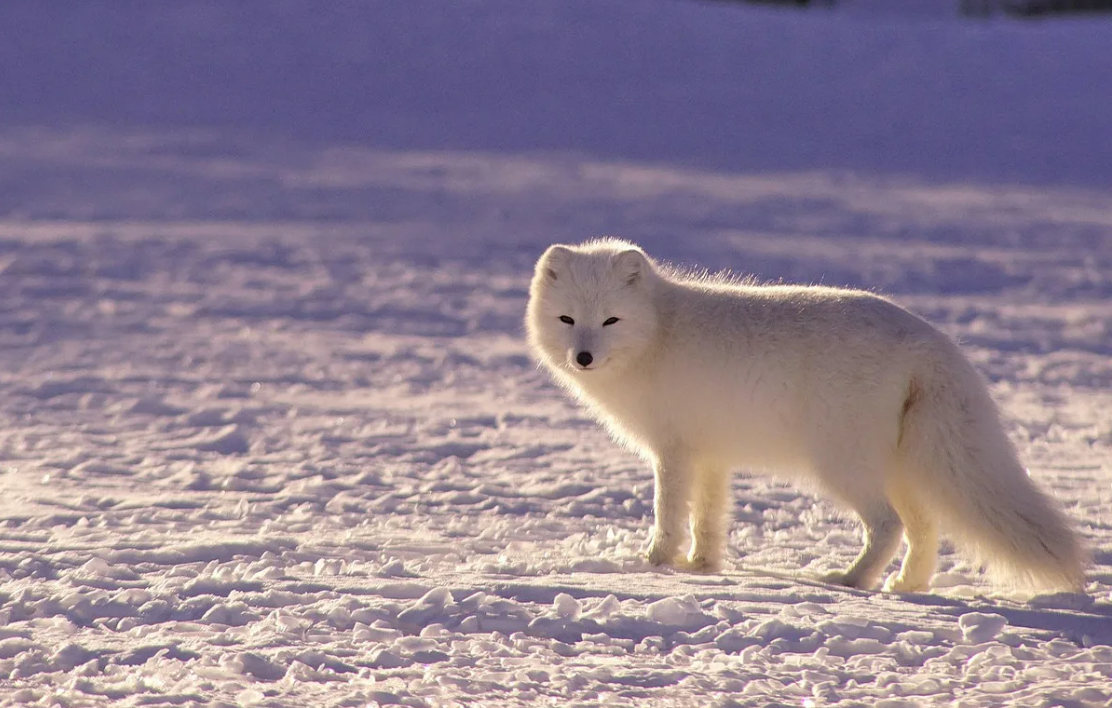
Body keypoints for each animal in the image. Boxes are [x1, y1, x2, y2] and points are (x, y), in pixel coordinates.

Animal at [524, 237, 1089, 591]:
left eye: (611, 320)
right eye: (568, 319)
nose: (583, 357)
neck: (659, 332)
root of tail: (929, 339)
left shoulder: (674, 451)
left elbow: (669, 512)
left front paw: (656, 562)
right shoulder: (711, 455)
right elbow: (709, 517)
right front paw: (703, 565)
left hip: (841, 464)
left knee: (888, 525)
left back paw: (852, 580)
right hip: (902, 468)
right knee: (925, 529)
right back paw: (906, 585)